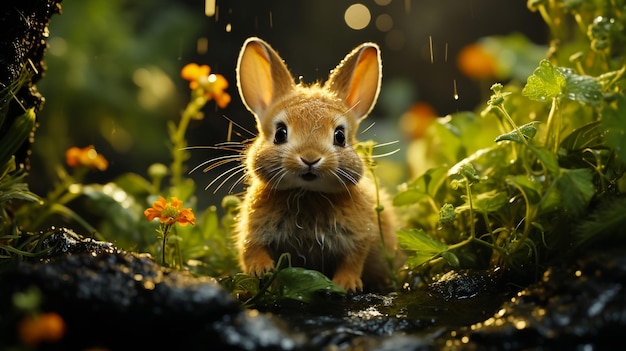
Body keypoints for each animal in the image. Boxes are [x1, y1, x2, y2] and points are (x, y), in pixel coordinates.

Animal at [234, 37, 394, 292]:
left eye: (340, 136)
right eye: (280, 133)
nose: (310, 158)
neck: (306, 193)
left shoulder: (359, 237)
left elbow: (353, 260)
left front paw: (346, 285)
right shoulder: (252, 230)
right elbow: (251, 250)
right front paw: (261, 270)